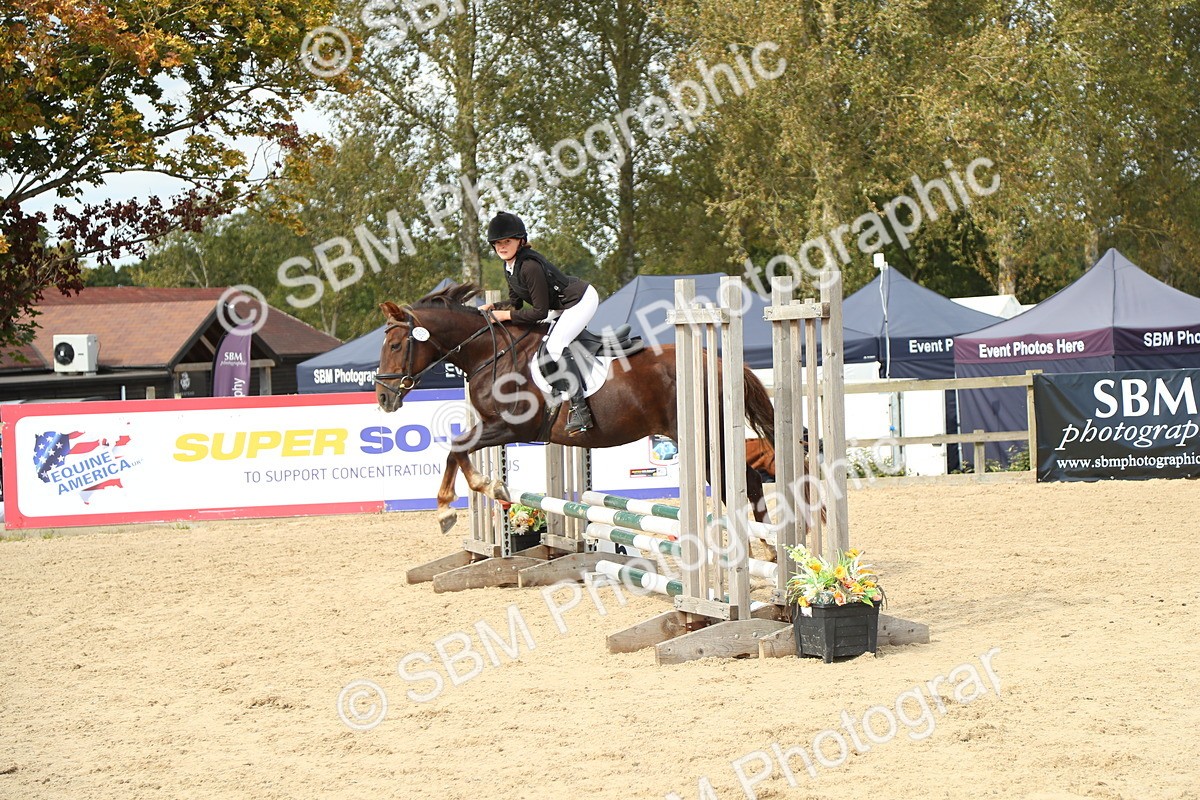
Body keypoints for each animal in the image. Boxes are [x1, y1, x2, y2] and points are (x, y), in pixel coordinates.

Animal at [375, 282, 779, 536]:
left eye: (395, 345)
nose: (383, 397)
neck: (492, 353)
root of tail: (716, 359)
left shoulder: (511, 427)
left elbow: (457, 447)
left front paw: (474, 494)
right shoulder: (494, 426)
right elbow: (454, 451)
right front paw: (456, 504)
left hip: (705, 437)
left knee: (744, 481)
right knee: (747, 481)